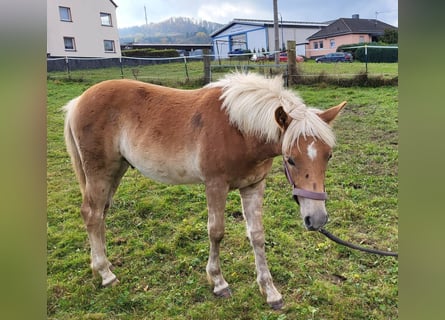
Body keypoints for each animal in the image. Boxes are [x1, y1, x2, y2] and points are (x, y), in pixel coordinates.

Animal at [63, 71, 346, 308]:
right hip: (99, 172)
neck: (238, 129)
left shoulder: (253, 185)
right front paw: (218, 282)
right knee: (91, 214)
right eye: (290, 159)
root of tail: (78, 101)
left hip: (116, 170)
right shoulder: (215, 185)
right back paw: (105, 273)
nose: (317, 219)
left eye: (329, 156)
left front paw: (270, 291)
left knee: (101, 214)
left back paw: (101, 265)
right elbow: (216, 232)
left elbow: (256, 235)